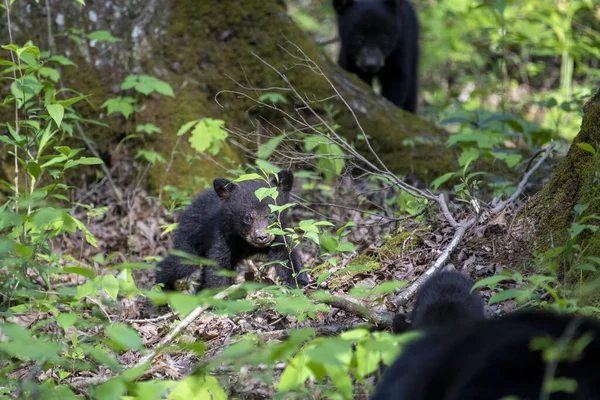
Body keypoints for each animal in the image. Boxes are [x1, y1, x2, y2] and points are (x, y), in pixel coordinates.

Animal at [155, 170, 310, 290]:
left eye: (271, 215)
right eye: (248, 218)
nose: (261, 237)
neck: (245, 243)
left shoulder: (278, 236)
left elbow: (286, 256)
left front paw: (300, 282)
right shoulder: (222, 237)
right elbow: (217, 267)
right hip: (190, 236)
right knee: (179, 262)